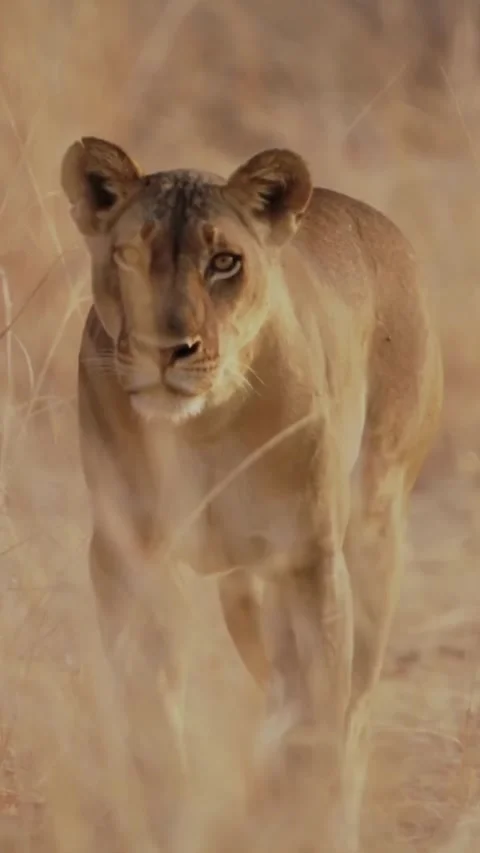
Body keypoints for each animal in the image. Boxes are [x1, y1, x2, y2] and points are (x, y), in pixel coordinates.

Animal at [61, 136, 443, 851]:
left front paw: (300, 818)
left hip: (373, 537)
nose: (165, 350)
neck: (201, 428)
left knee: (353, 714)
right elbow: (151, 714)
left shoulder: (308, 562)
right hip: (244, 591)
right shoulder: (128, 556)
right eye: (129, 256)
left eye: (224, 262)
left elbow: (317, 727)